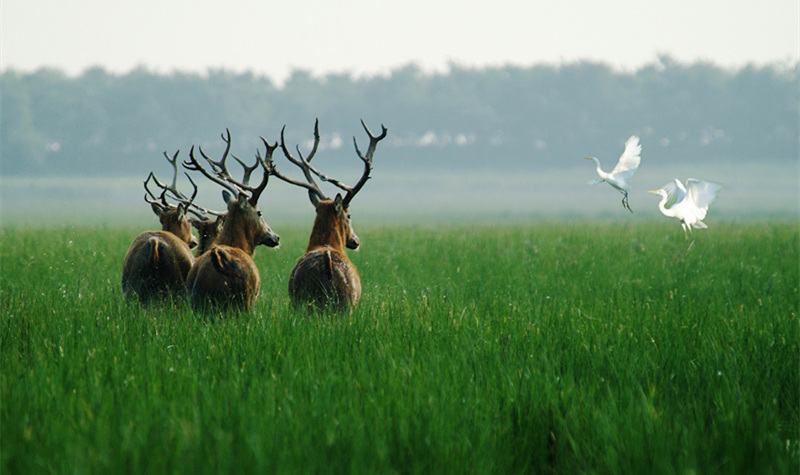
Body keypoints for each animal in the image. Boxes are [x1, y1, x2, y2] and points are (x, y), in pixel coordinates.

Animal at [183, 128, 282, 312]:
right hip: (245, 299)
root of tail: (220, 260)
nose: (276, 237)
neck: (239, 245)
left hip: (198, 300)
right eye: (260, 212)